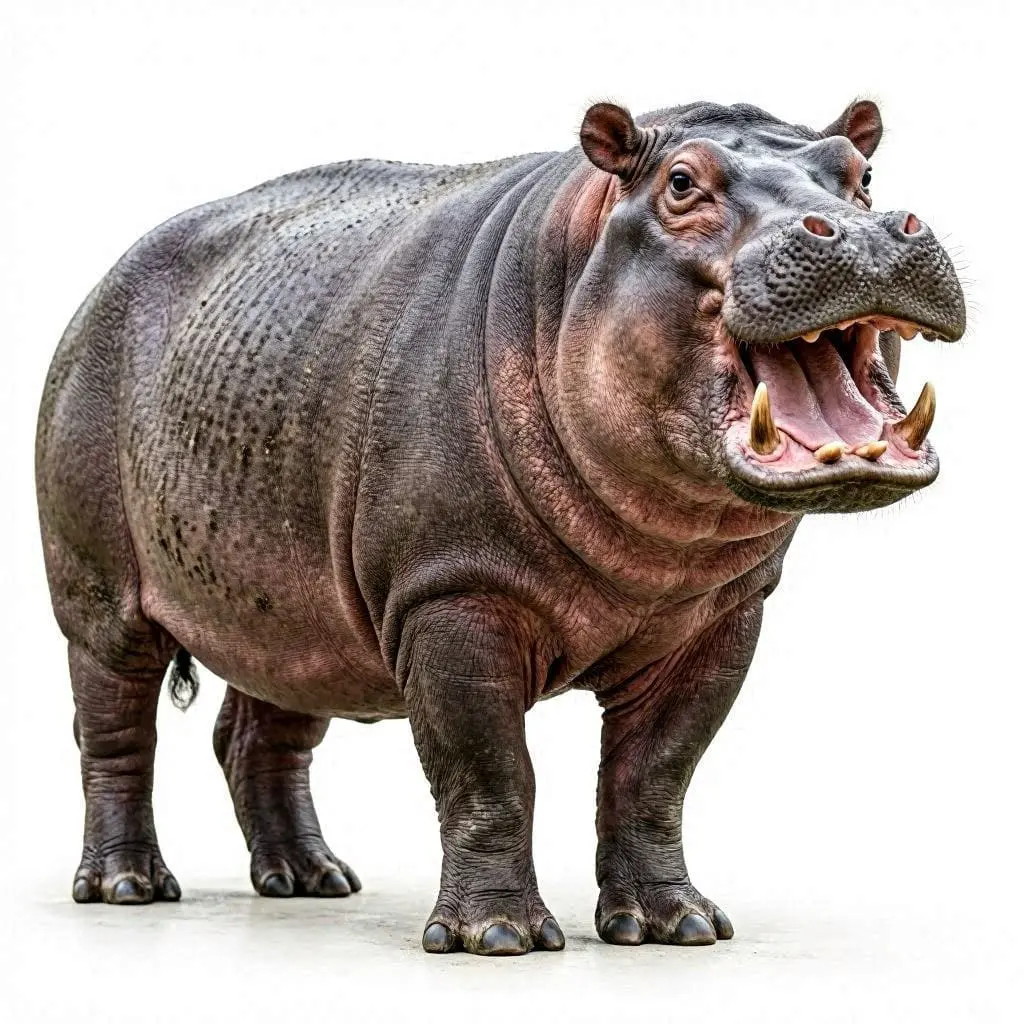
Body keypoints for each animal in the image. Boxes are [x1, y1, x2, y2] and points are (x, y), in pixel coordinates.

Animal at [35, 97, 965, 956]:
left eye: (862, 172)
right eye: (680, 182)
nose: (870, 233)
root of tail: (101, 282)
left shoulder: (723, 615)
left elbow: (656, 774)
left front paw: (681, 928)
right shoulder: (451, 593)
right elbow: (488, 772)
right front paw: (499, 938)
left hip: (298, 611)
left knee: (263, 729)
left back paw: (311, 880)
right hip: (99, 594)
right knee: (113, 723)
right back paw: (127, 888)